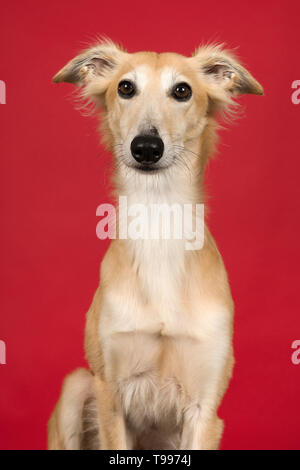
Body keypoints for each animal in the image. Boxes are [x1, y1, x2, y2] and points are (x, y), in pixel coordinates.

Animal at [48, 38, 262, 450]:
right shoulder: (110, 395)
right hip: (75, 388)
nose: (146, 147)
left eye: (182, 91)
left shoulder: (205, 408)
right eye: (125, 87)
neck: (159, 222)